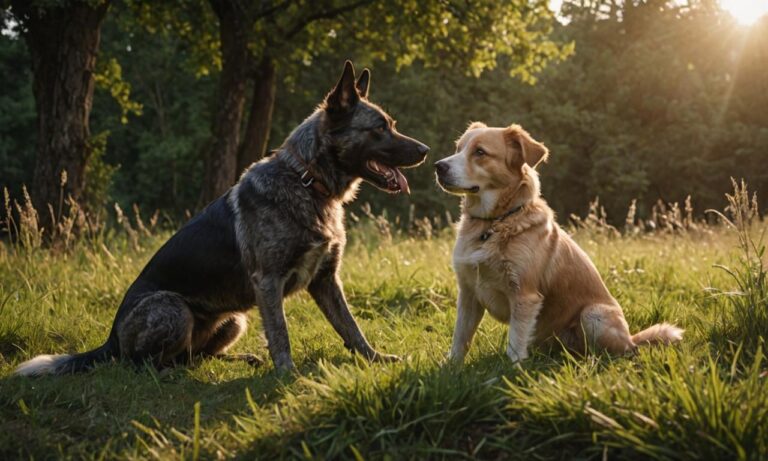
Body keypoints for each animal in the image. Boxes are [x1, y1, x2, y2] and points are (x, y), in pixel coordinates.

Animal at [16, 60, 432, 374]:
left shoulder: (326, 281)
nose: (427, 150)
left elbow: (351, 327)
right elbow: (280, 332)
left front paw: (375, 358)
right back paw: (165, 373)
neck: (307, 181)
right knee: (141, 364)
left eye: (391, 124)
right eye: (379, 128)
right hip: (171, 308)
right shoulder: (268, 282)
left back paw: (239, 358)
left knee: (193, 356)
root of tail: (111, 340)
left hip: (234, 319)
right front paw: (287, 373)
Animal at [436, 123, 680, 362]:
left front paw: (512, 371)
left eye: (480, 152)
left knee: (620, 352)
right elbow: (460, 338)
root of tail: (631, 337)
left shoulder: (524, 295)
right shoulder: (468, 293)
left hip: (593, 314)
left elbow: (515, 345)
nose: (439, 166)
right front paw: (452, 368)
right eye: (458, 149)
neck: (494, 222)